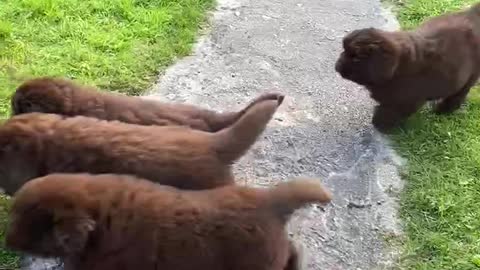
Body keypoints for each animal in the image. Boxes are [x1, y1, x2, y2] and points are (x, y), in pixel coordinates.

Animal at [336, 2, 480, 132]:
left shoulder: (406, 101)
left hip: (470, 76)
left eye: (356, 58)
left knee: (459, 93)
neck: (395, 69)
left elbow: (389, 112)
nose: (337, 66)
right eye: (344, 51)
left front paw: (381, 125)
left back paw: (443, 110)